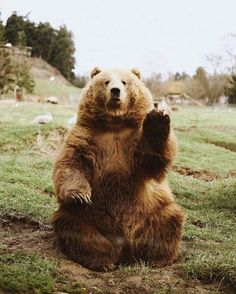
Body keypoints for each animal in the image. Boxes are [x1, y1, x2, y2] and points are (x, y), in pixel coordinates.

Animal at [52, 66, 184, 272]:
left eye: (124, 82)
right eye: (106, 81)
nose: (115, 91)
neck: (114, 124)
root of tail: (126, 247)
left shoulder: (132, 143)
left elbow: (153, 160)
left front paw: (157, 118)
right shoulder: (86, 137)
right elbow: (71, 163)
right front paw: (80, 195)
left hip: (152, 210)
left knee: (168, 221)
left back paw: (157, 258)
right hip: (88, 217)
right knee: (74, 228)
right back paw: (102, 261)